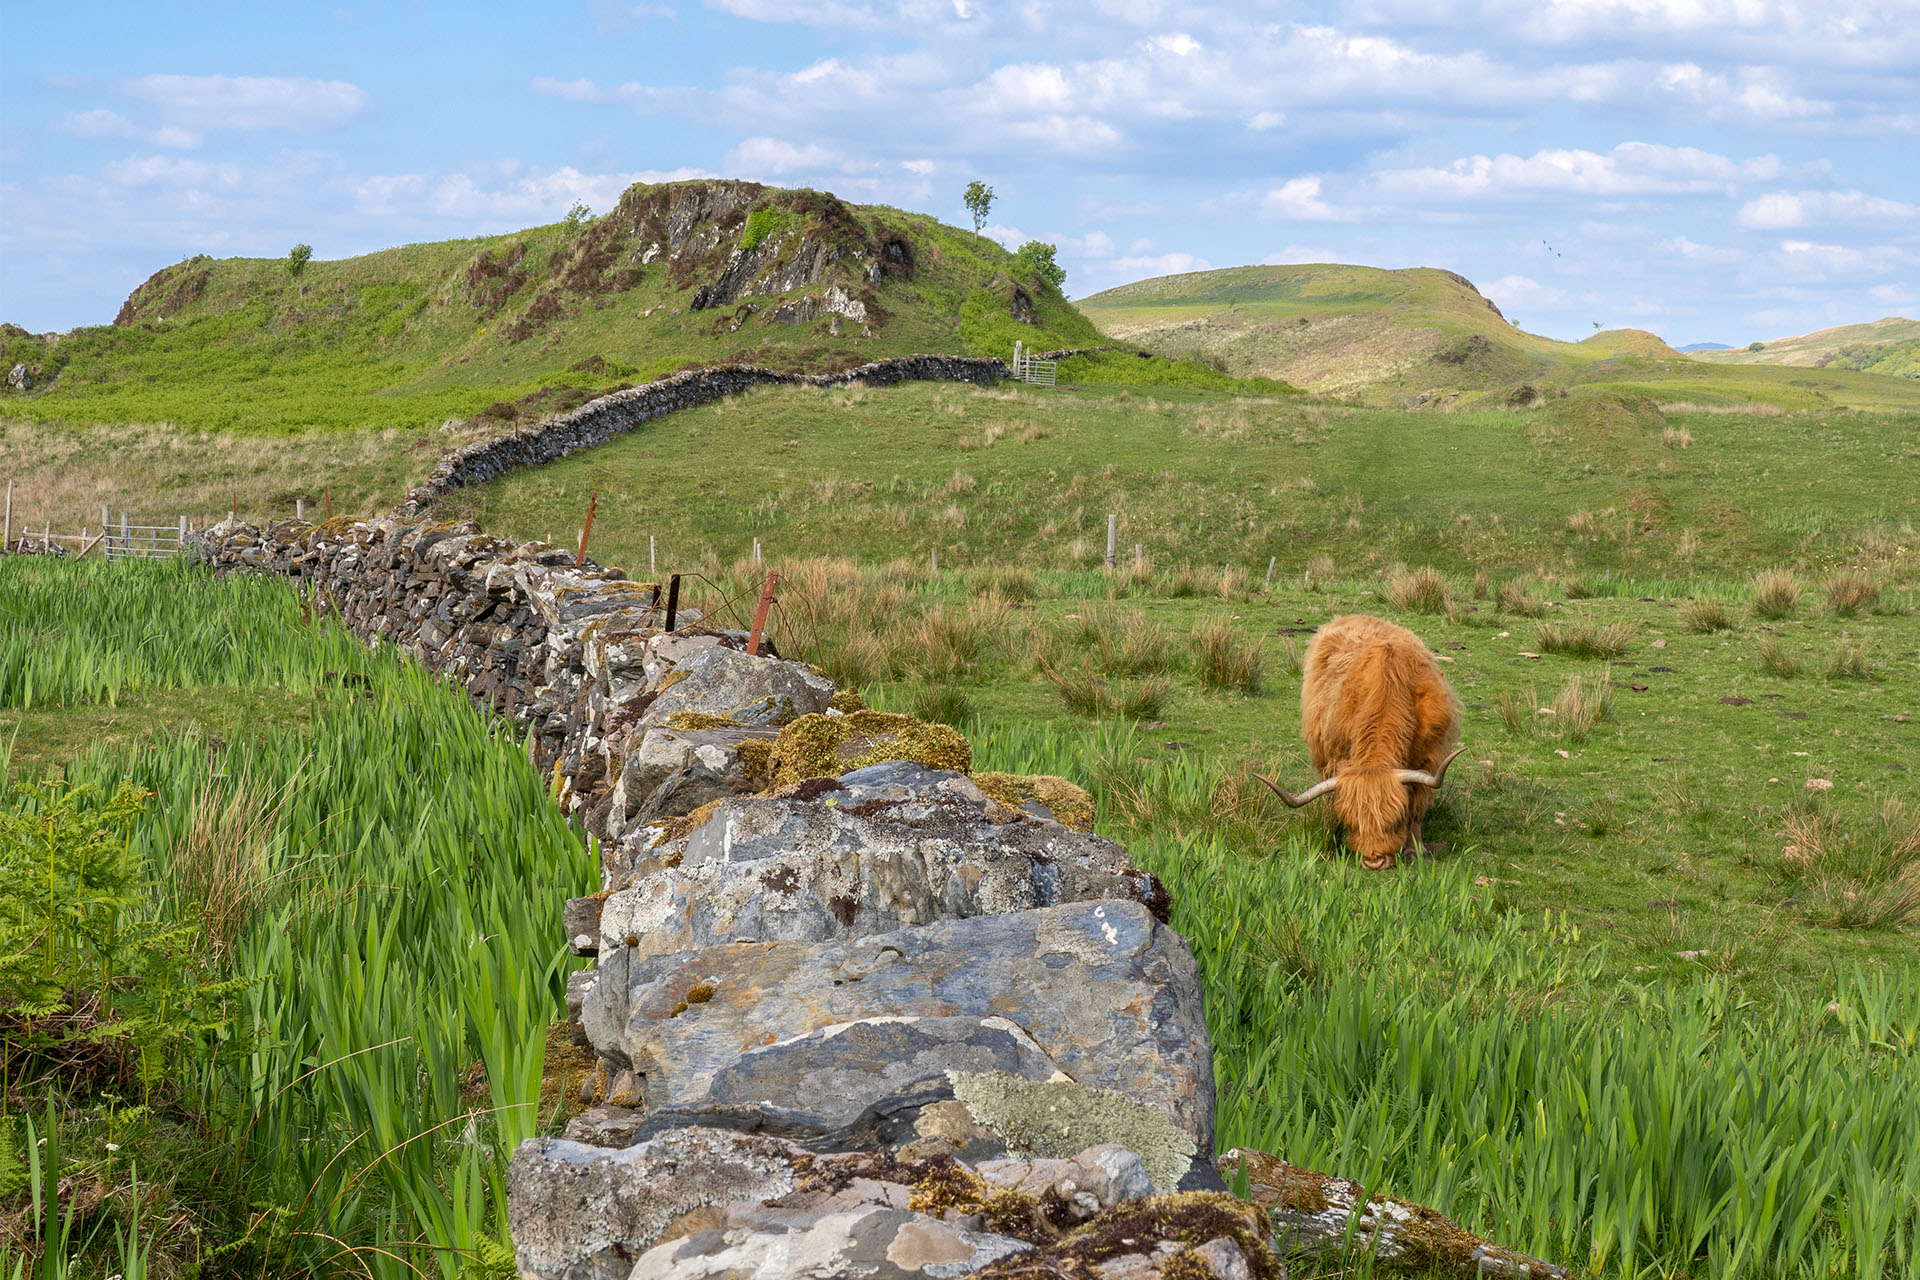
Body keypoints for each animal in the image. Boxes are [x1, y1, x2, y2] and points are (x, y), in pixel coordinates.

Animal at [1253, 614, 1465, 870]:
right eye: (1352, 822)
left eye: (1396, 819)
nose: (1374, 861)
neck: (1391, 685)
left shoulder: (1430, 758)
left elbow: (1417, 805)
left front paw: (1415, 849)